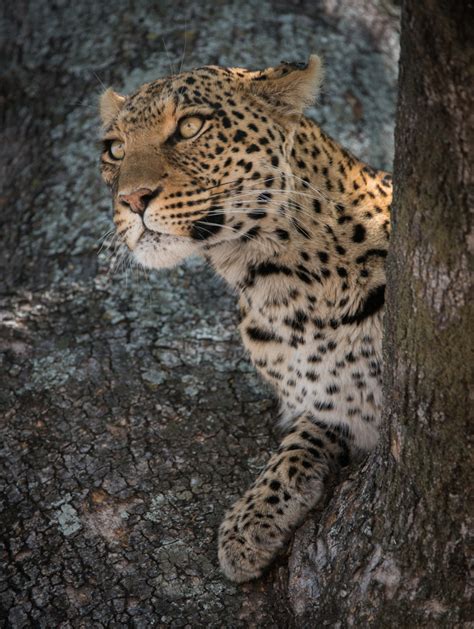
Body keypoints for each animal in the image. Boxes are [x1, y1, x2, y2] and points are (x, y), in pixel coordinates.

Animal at [98, 56, 390, 580]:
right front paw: (248, 525)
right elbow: (294, 449)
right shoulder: (334, 407)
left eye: (190, 126)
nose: (132, 199)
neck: (286, 289)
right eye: (114, 149)